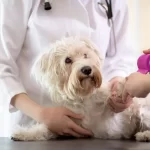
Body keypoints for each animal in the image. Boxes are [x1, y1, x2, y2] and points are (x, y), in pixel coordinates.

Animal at [11, 37, 150, 141]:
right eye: (68, 60)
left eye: (85, 55)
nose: (87, 69)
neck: (83, 97)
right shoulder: (66, 123)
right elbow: (44, 129)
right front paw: (24, 133)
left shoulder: (113, 114)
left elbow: (116, 100)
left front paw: (122, 87)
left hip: (143, 111)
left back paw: (145, 134)